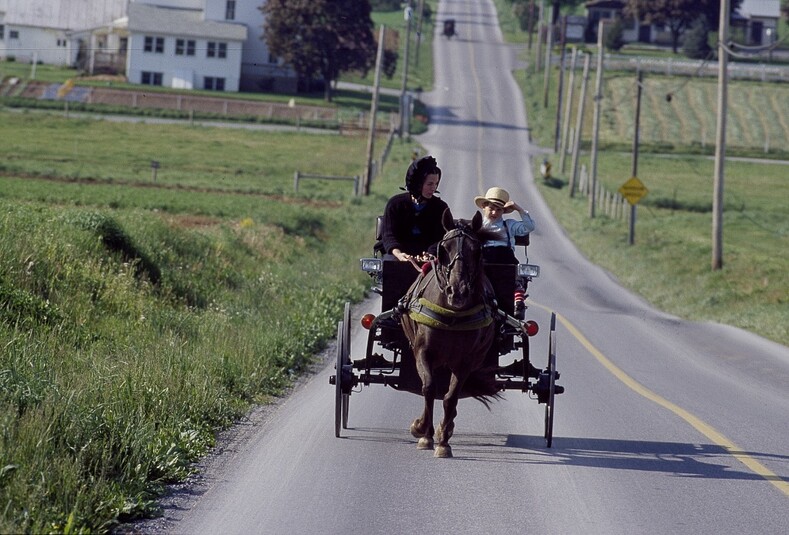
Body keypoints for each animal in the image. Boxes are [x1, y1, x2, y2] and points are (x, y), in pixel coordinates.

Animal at [398, 209, 502, 456]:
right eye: (443, 249)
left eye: (477, 250)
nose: (458, 292)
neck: (452, 314)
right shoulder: (423, 352)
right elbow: (428, 388)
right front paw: (422, 431)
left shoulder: (465, 361)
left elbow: (450, 397)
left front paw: (443, 441)